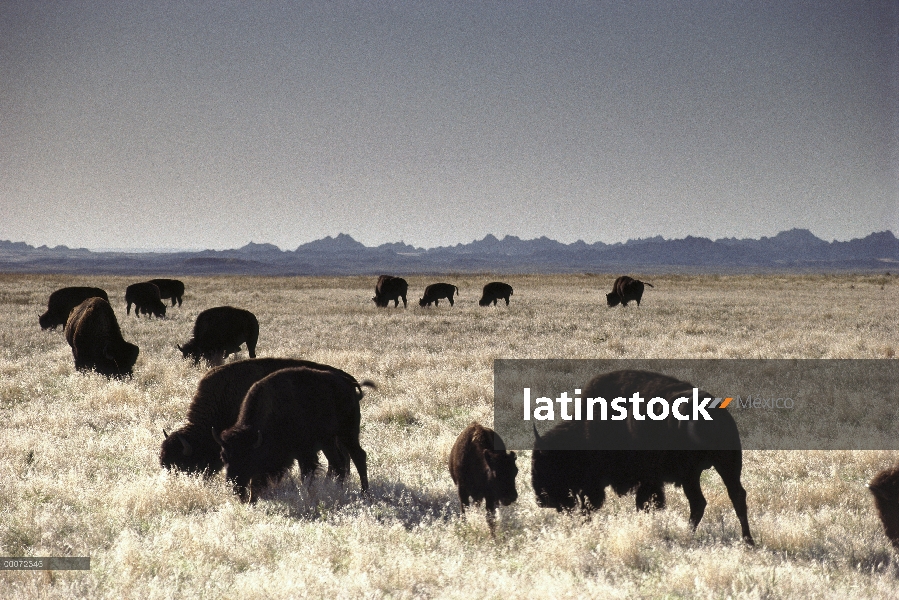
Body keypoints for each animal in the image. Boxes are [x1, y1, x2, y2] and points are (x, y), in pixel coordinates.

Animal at [214, 368, 370, 504]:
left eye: (247, 459)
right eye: (223, 457)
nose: (234, 485)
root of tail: (349, 383)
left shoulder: (305, 454)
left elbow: (306, 476)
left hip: (348, 434)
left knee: (358, 457)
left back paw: (364, 494)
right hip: (330, 441)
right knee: (339, 463)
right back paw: (334, 489)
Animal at [532, 368, 756, 548]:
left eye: (548, 465)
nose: (541, 500)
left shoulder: (646, 481)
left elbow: (643, 504)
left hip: (693, 474)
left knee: (700, 502)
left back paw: (689, 535)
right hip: (724, 466)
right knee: (734, 496)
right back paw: (747, 541)